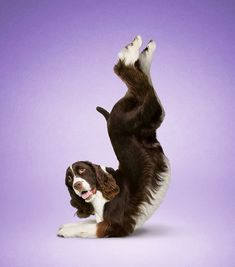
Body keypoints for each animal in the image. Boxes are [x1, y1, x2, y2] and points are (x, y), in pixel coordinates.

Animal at [57, 35, 170, 239]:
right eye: (69, 179)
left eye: (82, 171)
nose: (77, 185)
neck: (101, 192)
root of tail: (110, 117)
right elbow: (87, 221)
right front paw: (67, 225)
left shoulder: (116, 224)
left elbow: (91, 227)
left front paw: (66, 230)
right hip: (144, 119)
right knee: (143, 83)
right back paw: (145, 51)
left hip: (132, 117)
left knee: (132, 78)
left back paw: (131, 50)